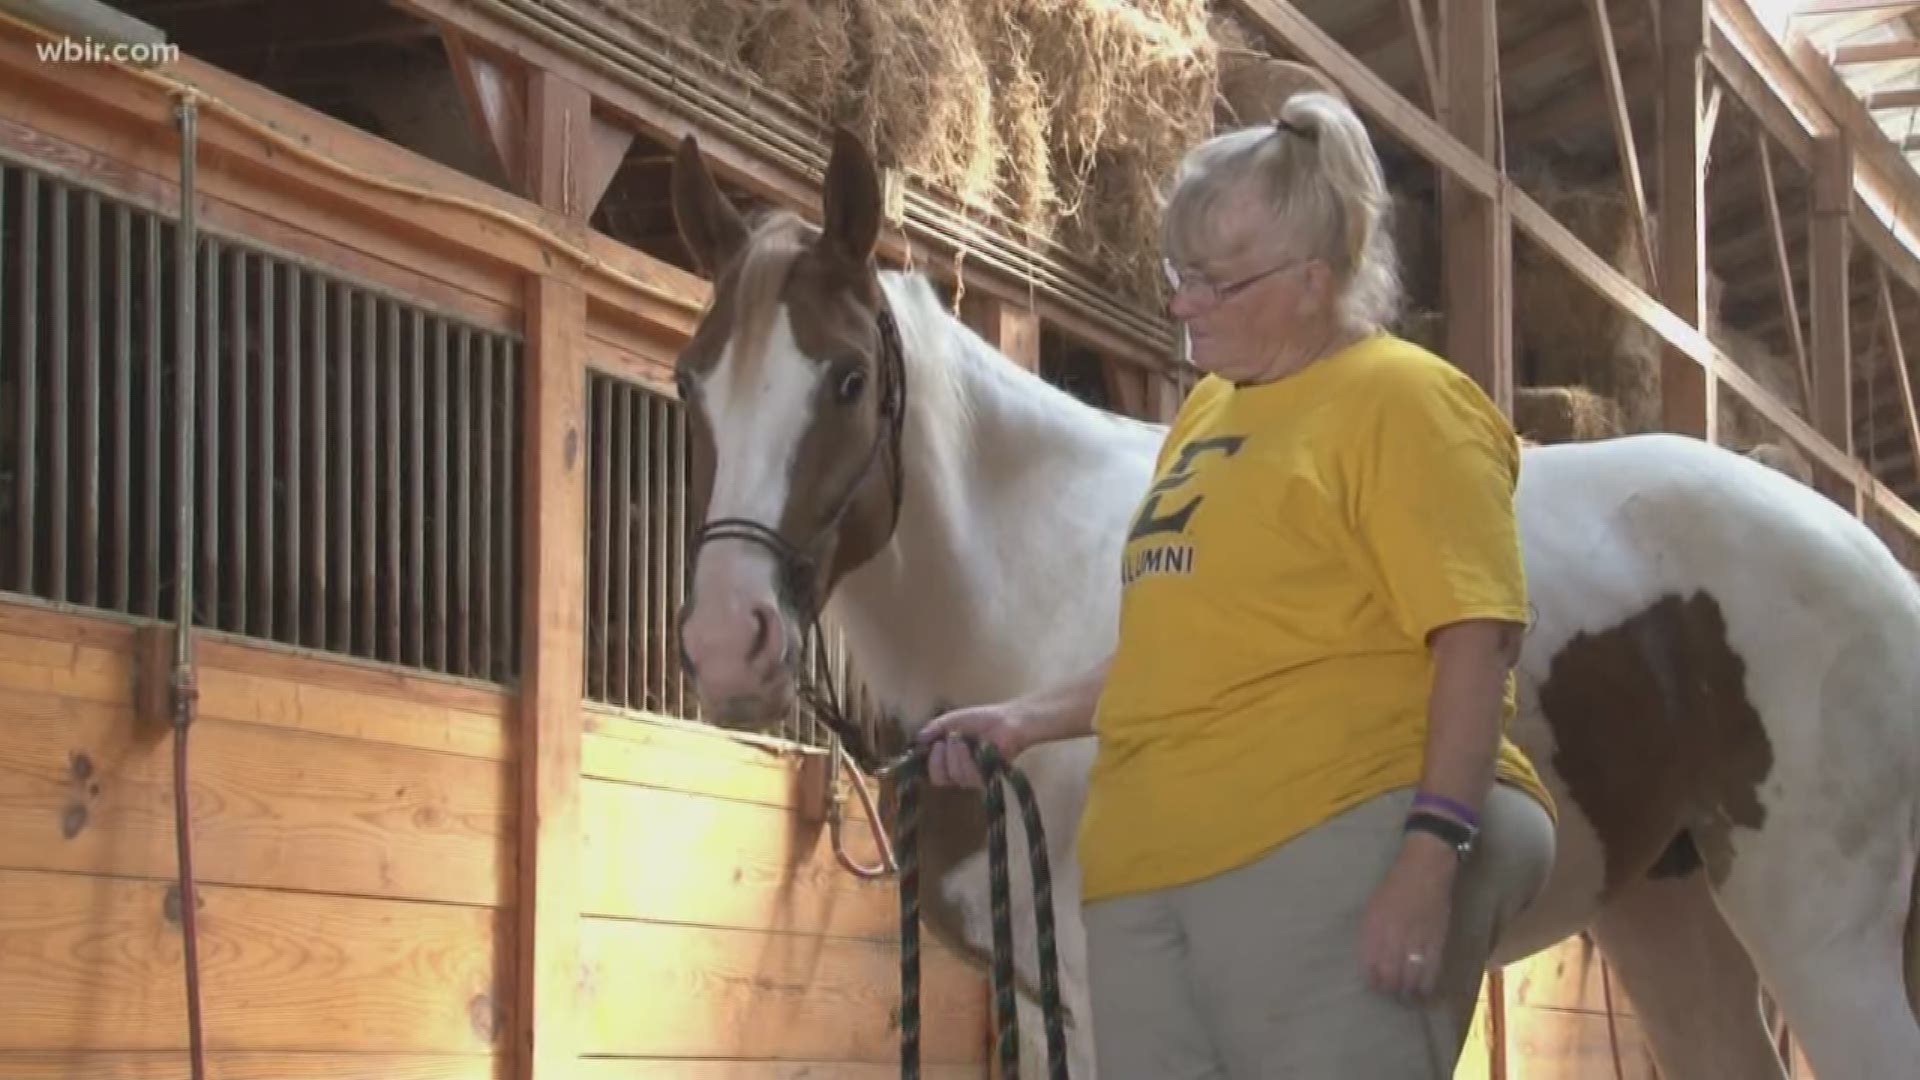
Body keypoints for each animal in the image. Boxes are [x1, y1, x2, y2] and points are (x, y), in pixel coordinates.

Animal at [664, 127, 1920, 1076]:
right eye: (691, 381)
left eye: (847, 378)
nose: (729, 638)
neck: (1022, 596)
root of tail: (1875, 564)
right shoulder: (1040, 992)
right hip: (1671, 919)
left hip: (1826, 938)